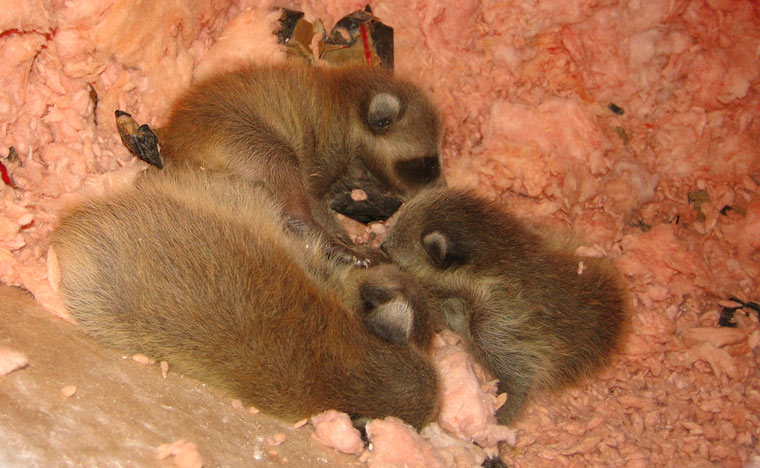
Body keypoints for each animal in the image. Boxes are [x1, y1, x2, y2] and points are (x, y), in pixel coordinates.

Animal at [160, 63, 446, 264]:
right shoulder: (330, 143)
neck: (345, 98)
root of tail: (175, 146)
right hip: (235, 130)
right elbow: (312, 194)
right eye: (427, 164)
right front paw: (340, 237)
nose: (442, 188)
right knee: (281, 162)